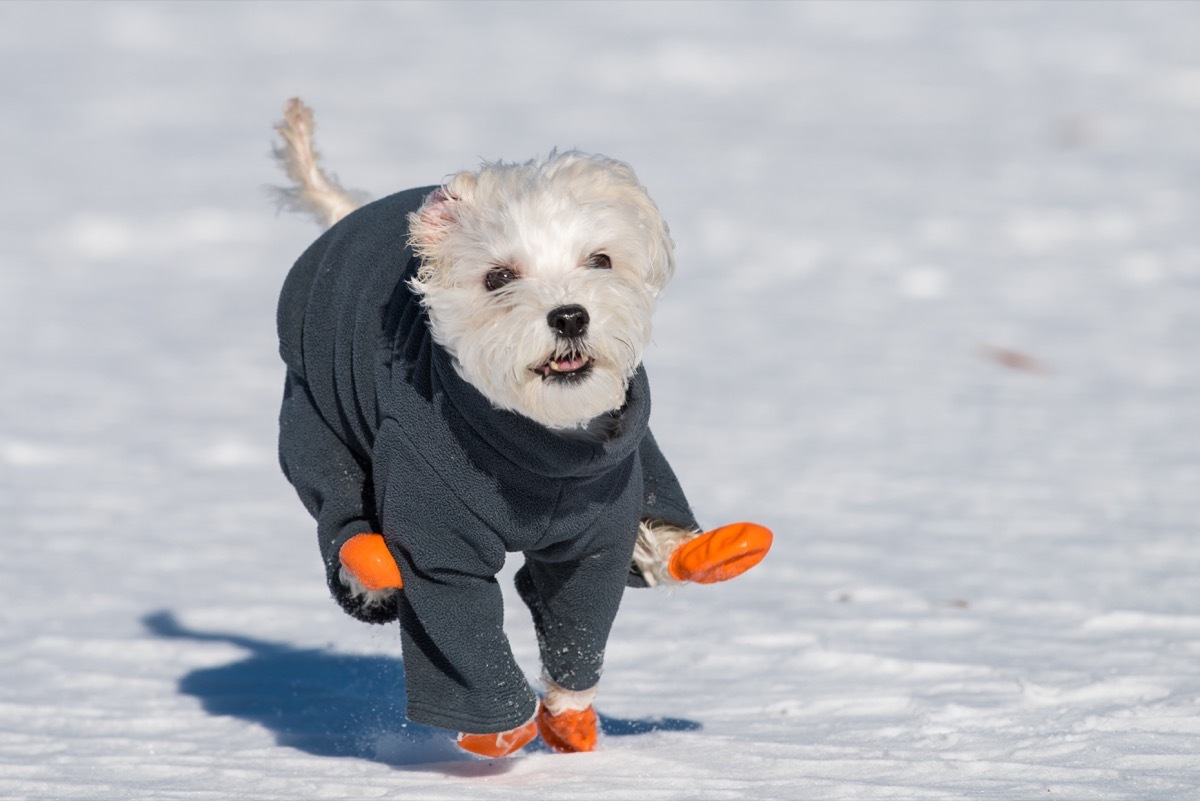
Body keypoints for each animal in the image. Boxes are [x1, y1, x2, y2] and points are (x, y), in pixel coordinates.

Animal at [271, 98, 768, 757]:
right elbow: (458, 627)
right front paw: (501, 732)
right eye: (498, 277)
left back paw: (702, 551)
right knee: (339, 507)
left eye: (600, 260)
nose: (570, 315)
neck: (541, 452)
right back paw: (367, 567)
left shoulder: (596, 532)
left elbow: (579, 624)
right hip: (315, 427)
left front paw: (569, 719)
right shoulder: (437, 537)